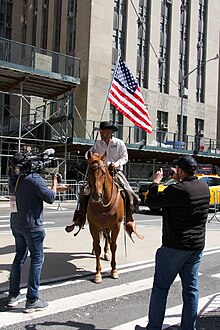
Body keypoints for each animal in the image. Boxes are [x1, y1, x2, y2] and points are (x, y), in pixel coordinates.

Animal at [87, 152, 125, 284]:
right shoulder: (93, 226)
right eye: (89, 171)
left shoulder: (116, 226)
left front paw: (114, 270)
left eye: (103, 173)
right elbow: (97, 247)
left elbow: (114, 246)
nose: (96, 196)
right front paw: (98, 273)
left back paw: (107, 253)